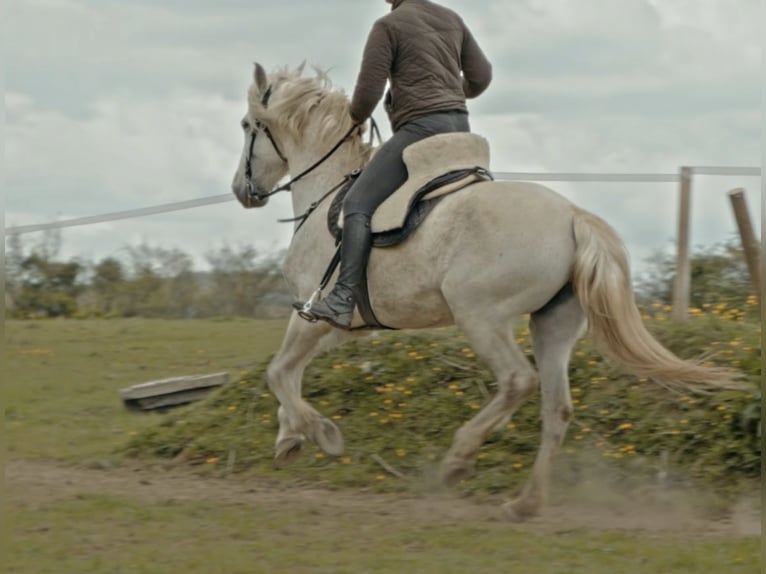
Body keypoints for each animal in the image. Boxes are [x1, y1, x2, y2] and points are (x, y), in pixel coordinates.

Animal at [230, 63, 738, 520]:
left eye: (247, 126)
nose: (242, 190)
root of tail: (572, 216)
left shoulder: (313, 314)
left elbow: (279, 372)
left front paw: (320, 433)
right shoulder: (336, 327)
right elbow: (289, 372)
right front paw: (289, 438)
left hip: (481, 316)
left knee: (518, 381)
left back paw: (459, 460)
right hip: (553, 324)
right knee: (557, 408)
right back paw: (525, 503)